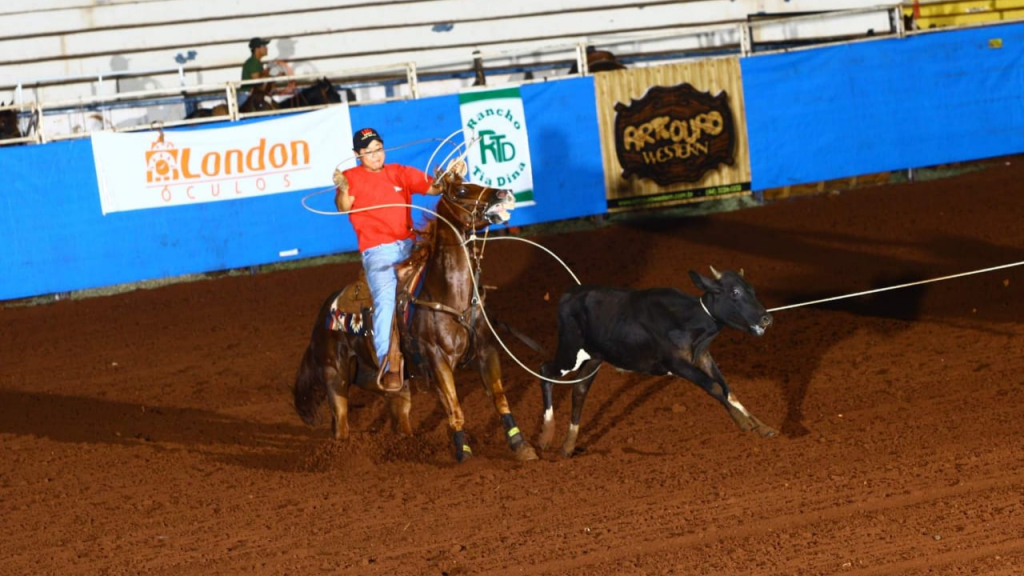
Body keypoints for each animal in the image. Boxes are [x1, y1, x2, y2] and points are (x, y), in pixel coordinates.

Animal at [292, 170, 540, 461]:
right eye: (461, 191)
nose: (504, 193)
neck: (449, 295)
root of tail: (324, 314)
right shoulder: (437, 359)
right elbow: (454, 407)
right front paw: (463, 451)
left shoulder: (486, 350)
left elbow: (500, 398)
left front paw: (521, 445)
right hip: (336, 377)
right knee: (341, 423)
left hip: (390, 382)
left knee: (400, 417)